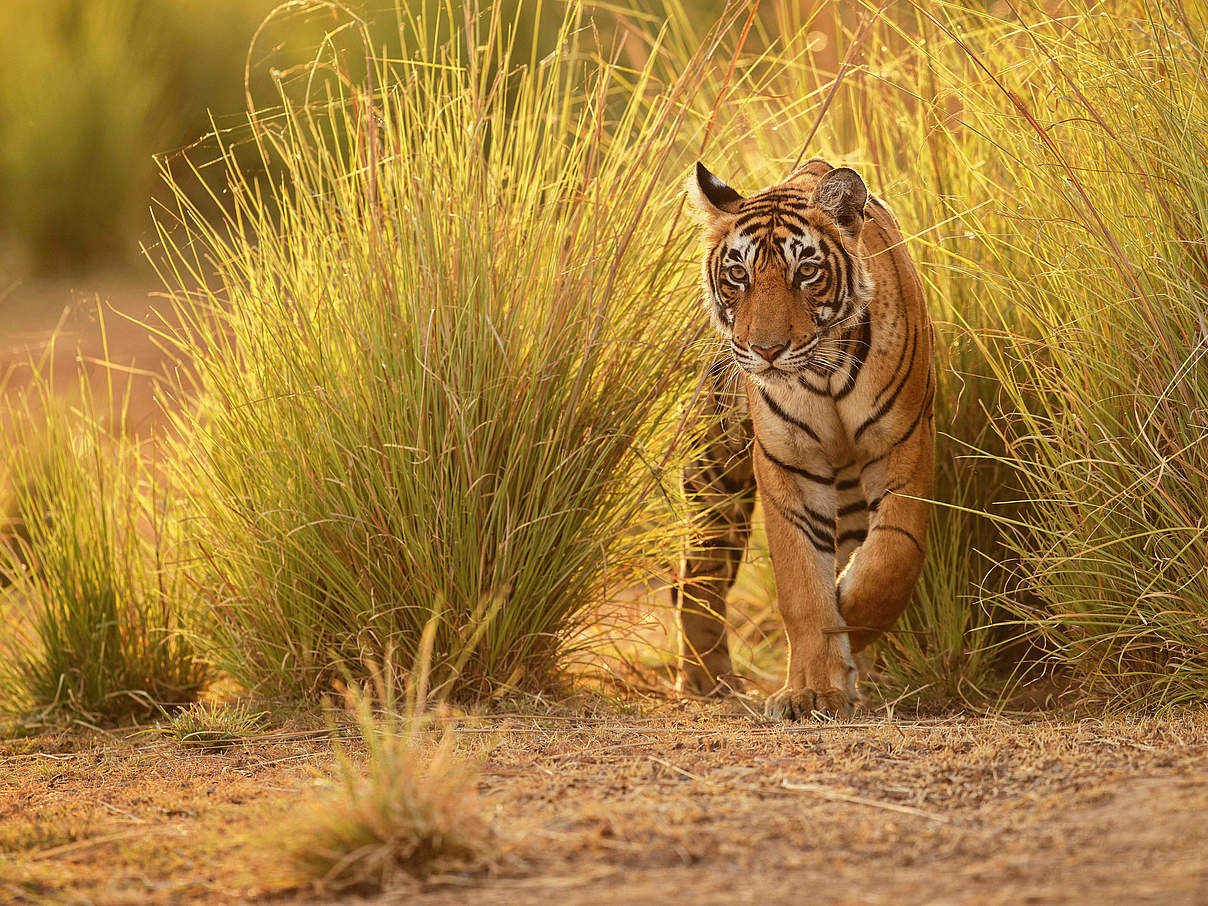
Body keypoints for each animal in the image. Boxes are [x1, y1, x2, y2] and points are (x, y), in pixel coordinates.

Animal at [681, 158, 932, 724]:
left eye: (807, 272)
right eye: (738, 275)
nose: (766, 350)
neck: (824, 373)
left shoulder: (901, 444)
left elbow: (890, 560)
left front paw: (848, 622)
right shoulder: (788, 461)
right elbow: (802, 583)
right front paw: (813, 691)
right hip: (714, 474)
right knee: (699, 574)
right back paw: (709, 681)